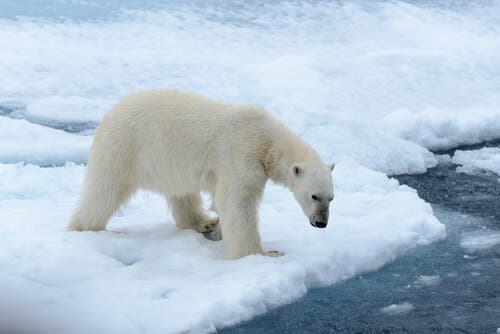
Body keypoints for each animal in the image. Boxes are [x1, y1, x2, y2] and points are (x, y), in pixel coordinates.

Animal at [69, 89, 336, 258]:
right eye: (314, 196)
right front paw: (265, 253)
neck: (267, 141)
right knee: (104, 191)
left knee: (182, 194)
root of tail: (109, 115)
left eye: (331, 198)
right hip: (124, 148)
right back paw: (86, 228)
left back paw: (205, 222)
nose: (321, 223)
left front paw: (219, 229)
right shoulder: (241, 156)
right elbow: (236, 204)